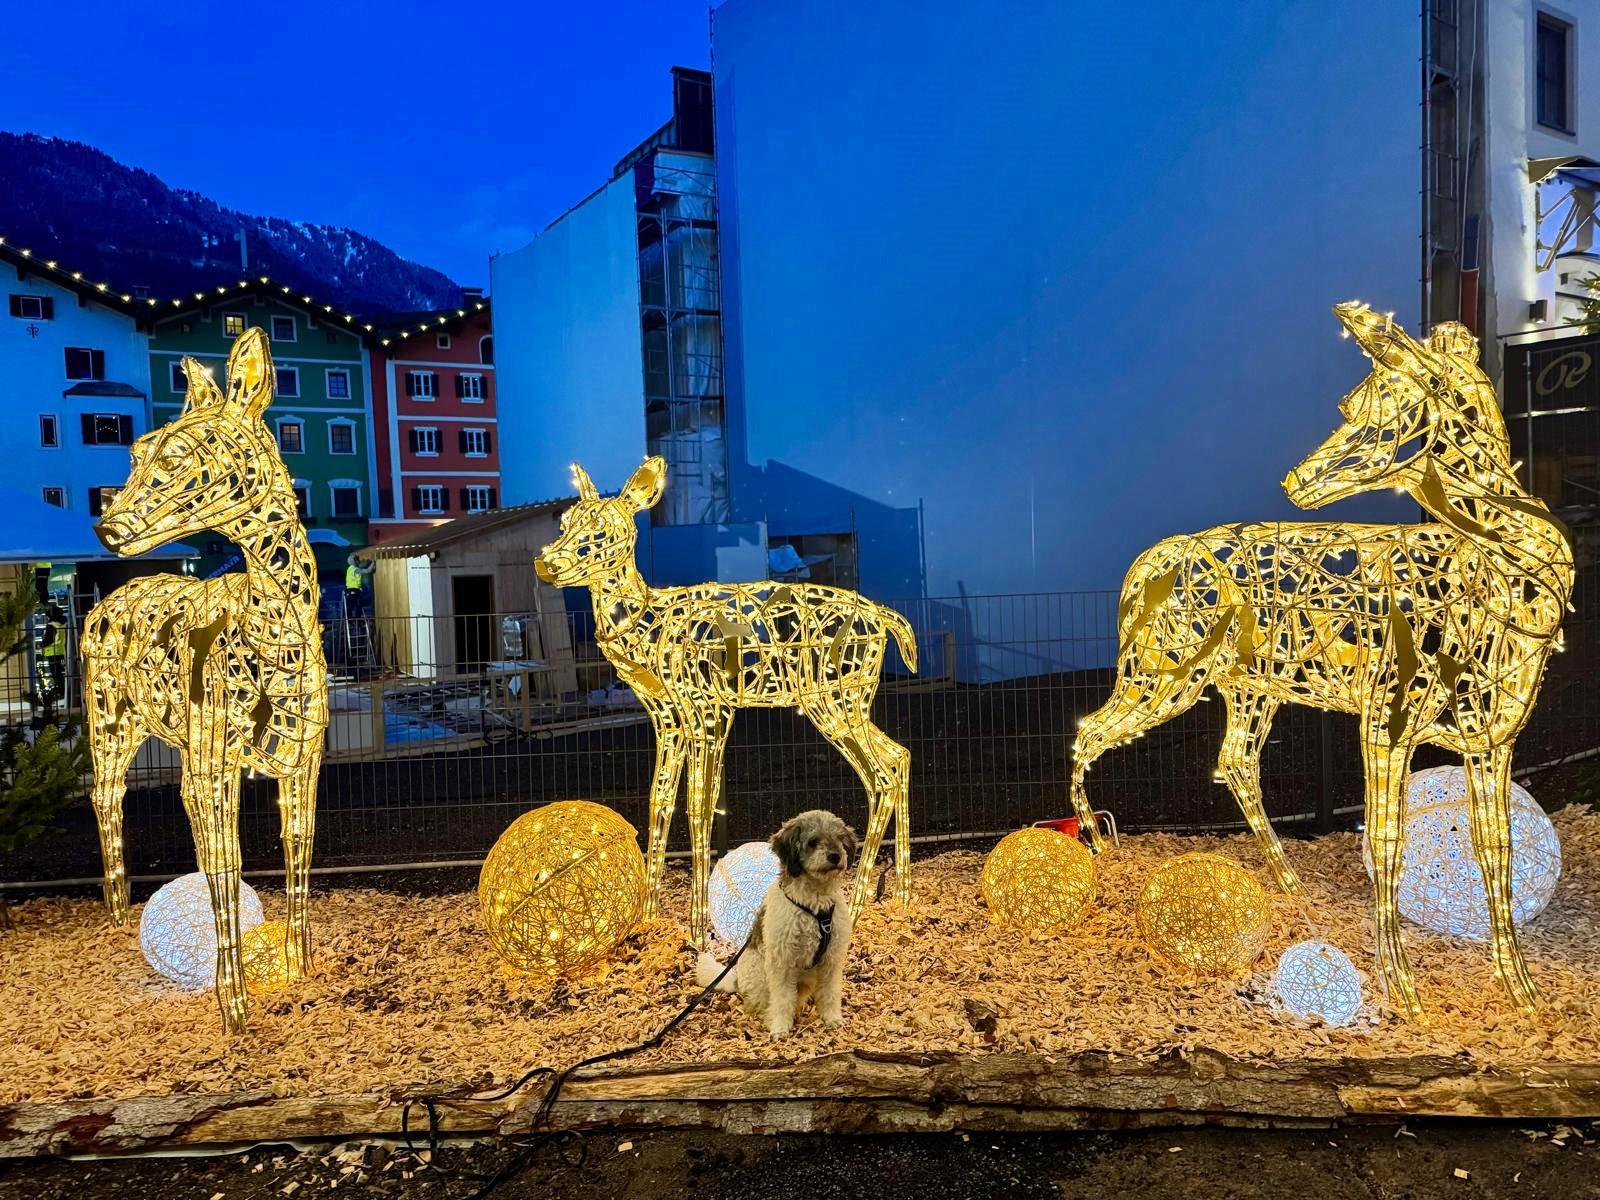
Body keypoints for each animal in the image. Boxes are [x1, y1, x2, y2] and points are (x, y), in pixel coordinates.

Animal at [696, 810, 857, 1038]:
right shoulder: (782, 963)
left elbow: (830, 993)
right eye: (813, 841)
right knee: (760, 1003)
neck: (815, 905)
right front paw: (780, 1028)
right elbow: (782, 999)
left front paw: (832, 1018)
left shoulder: (831, 960)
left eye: (839, 839)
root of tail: (737, 980)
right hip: (759, 973)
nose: (835, 856)